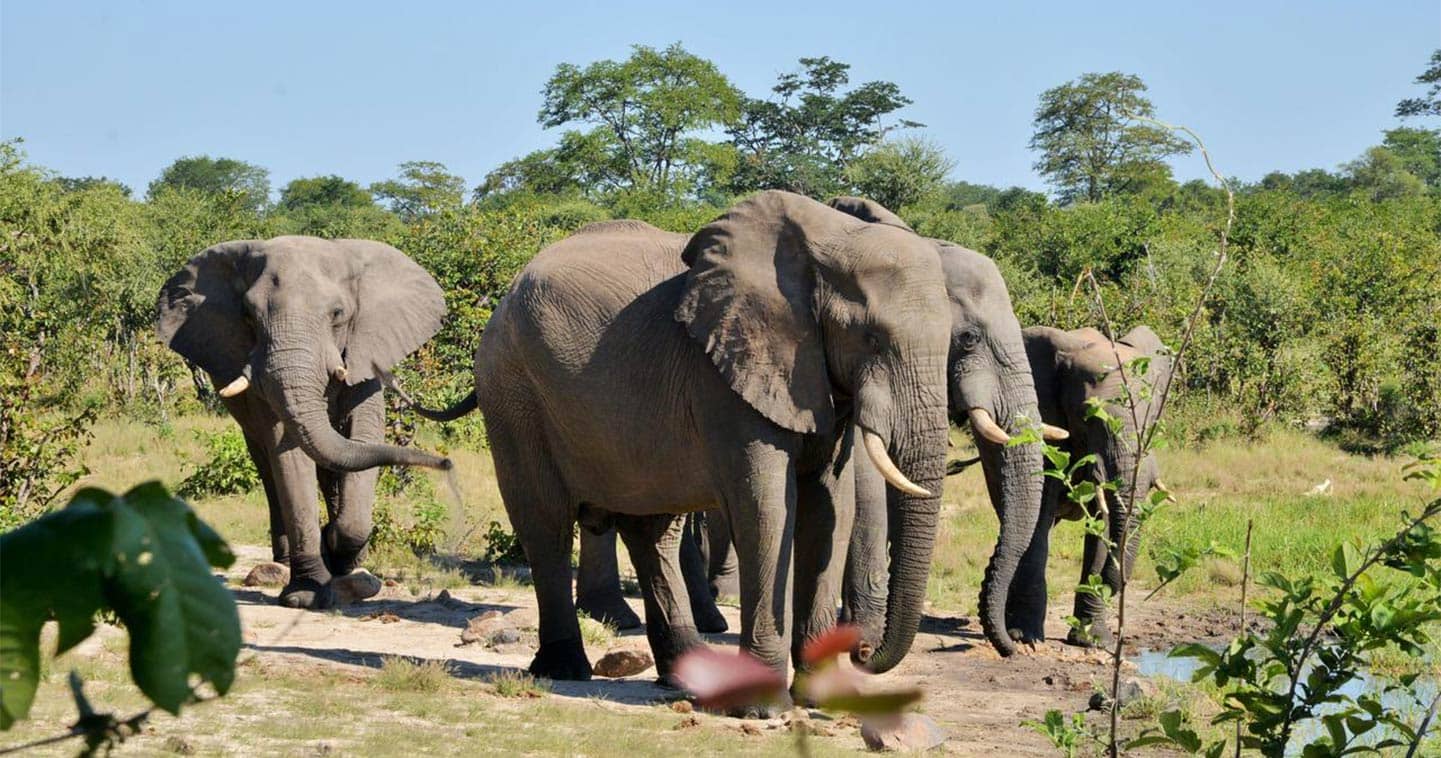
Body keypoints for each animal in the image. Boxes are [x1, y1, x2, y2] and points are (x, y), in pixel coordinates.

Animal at [157, 237, 449, 611]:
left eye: (338, 315)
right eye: (248, 316)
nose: (446, 463)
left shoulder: (365, 351)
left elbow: (362, 435)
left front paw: (340, 554)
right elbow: (289, 452)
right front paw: (306, 594)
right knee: (268, 467)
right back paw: (284, 563)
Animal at [417, 190, 1049, 688]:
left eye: (953, 340)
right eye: (870, 338)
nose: (865, 654)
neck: (829, 242)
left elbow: (830, 506)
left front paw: (821, 691)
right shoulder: (729, 373)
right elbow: (768, 507)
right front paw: (765, 703)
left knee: (651, 529)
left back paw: (683, 676)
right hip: (512, 389)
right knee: (545, 521)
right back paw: (566, 670)